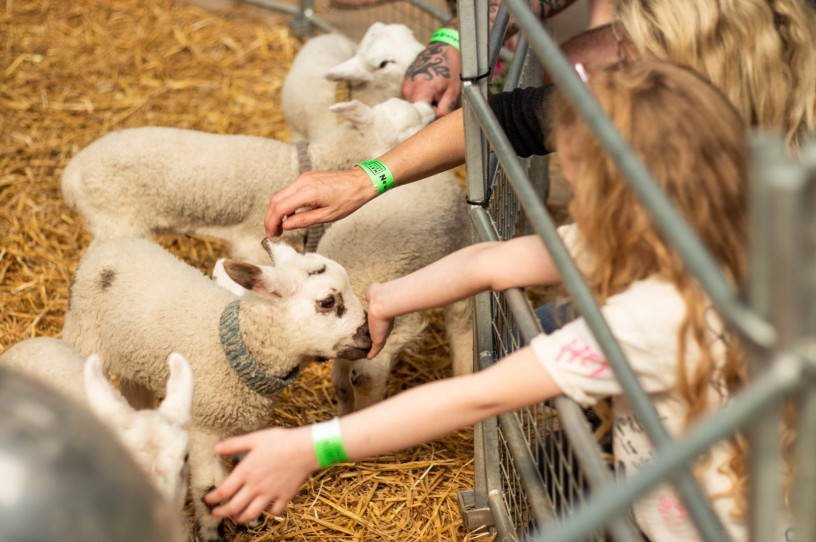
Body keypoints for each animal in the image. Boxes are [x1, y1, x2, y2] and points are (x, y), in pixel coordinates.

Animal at [60, 98, 436, 266]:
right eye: (407, 128)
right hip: (115, 220)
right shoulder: (252, 239)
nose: (432, 109)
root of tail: (70, 175)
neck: (305, 163)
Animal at [61, 238, 372, 542]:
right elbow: (209, 491)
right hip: (82, 335)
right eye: (328, 302)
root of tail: (110, 244)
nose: (369, 338)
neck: (240, 349)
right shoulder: (203, 430)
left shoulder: (250, 424)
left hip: (133, 360)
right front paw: (213, 535)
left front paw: (252, 520)